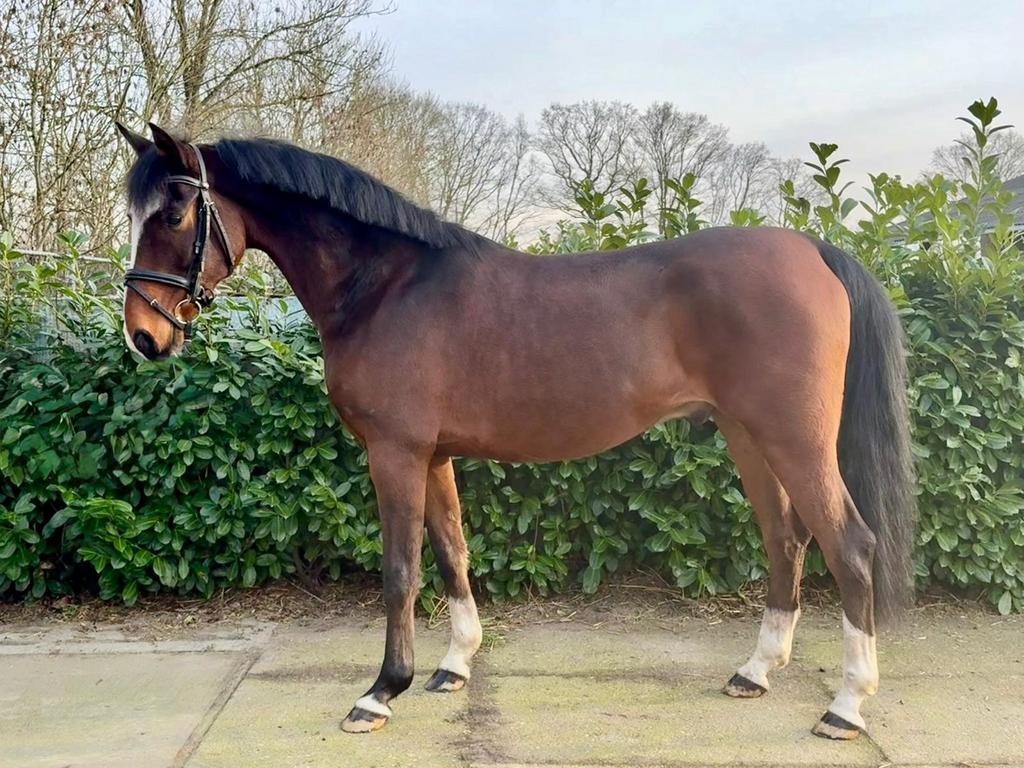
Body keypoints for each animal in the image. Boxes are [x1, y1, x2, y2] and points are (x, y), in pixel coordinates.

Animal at [114, 122, 915, 741]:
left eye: (174, 215)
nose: (145, 337)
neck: (386, 285)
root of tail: (813, 250)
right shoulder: (432, 455)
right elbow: (452, 553)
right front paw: (453, 666)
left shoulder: (395, 454)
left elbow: (401, 571)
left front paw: (381, 692)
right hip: (749, 436)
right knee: (787, 539)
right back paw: (755, 671)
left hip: (795, 439)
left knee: (851, 545)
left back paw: (846, 707)